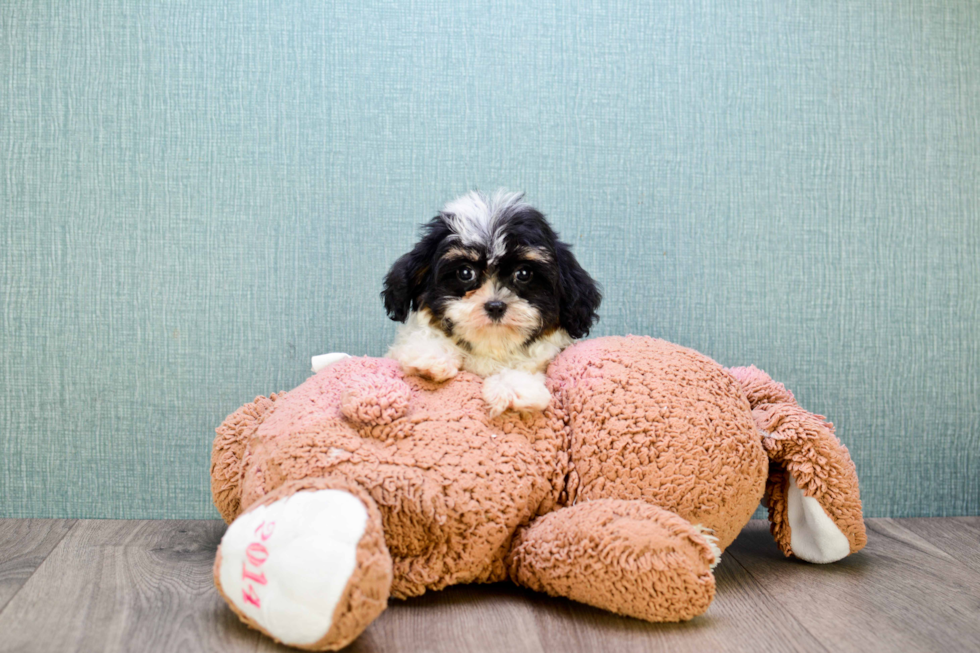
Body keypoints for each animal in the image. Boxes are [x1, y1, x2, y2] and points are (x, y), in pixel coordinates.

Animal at [380, 188, 596, 416]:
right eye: (465, 273)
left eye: (524, 273)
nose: (495, 306)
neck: (491, 347)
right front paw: (430, 354)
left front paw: (513, 386)